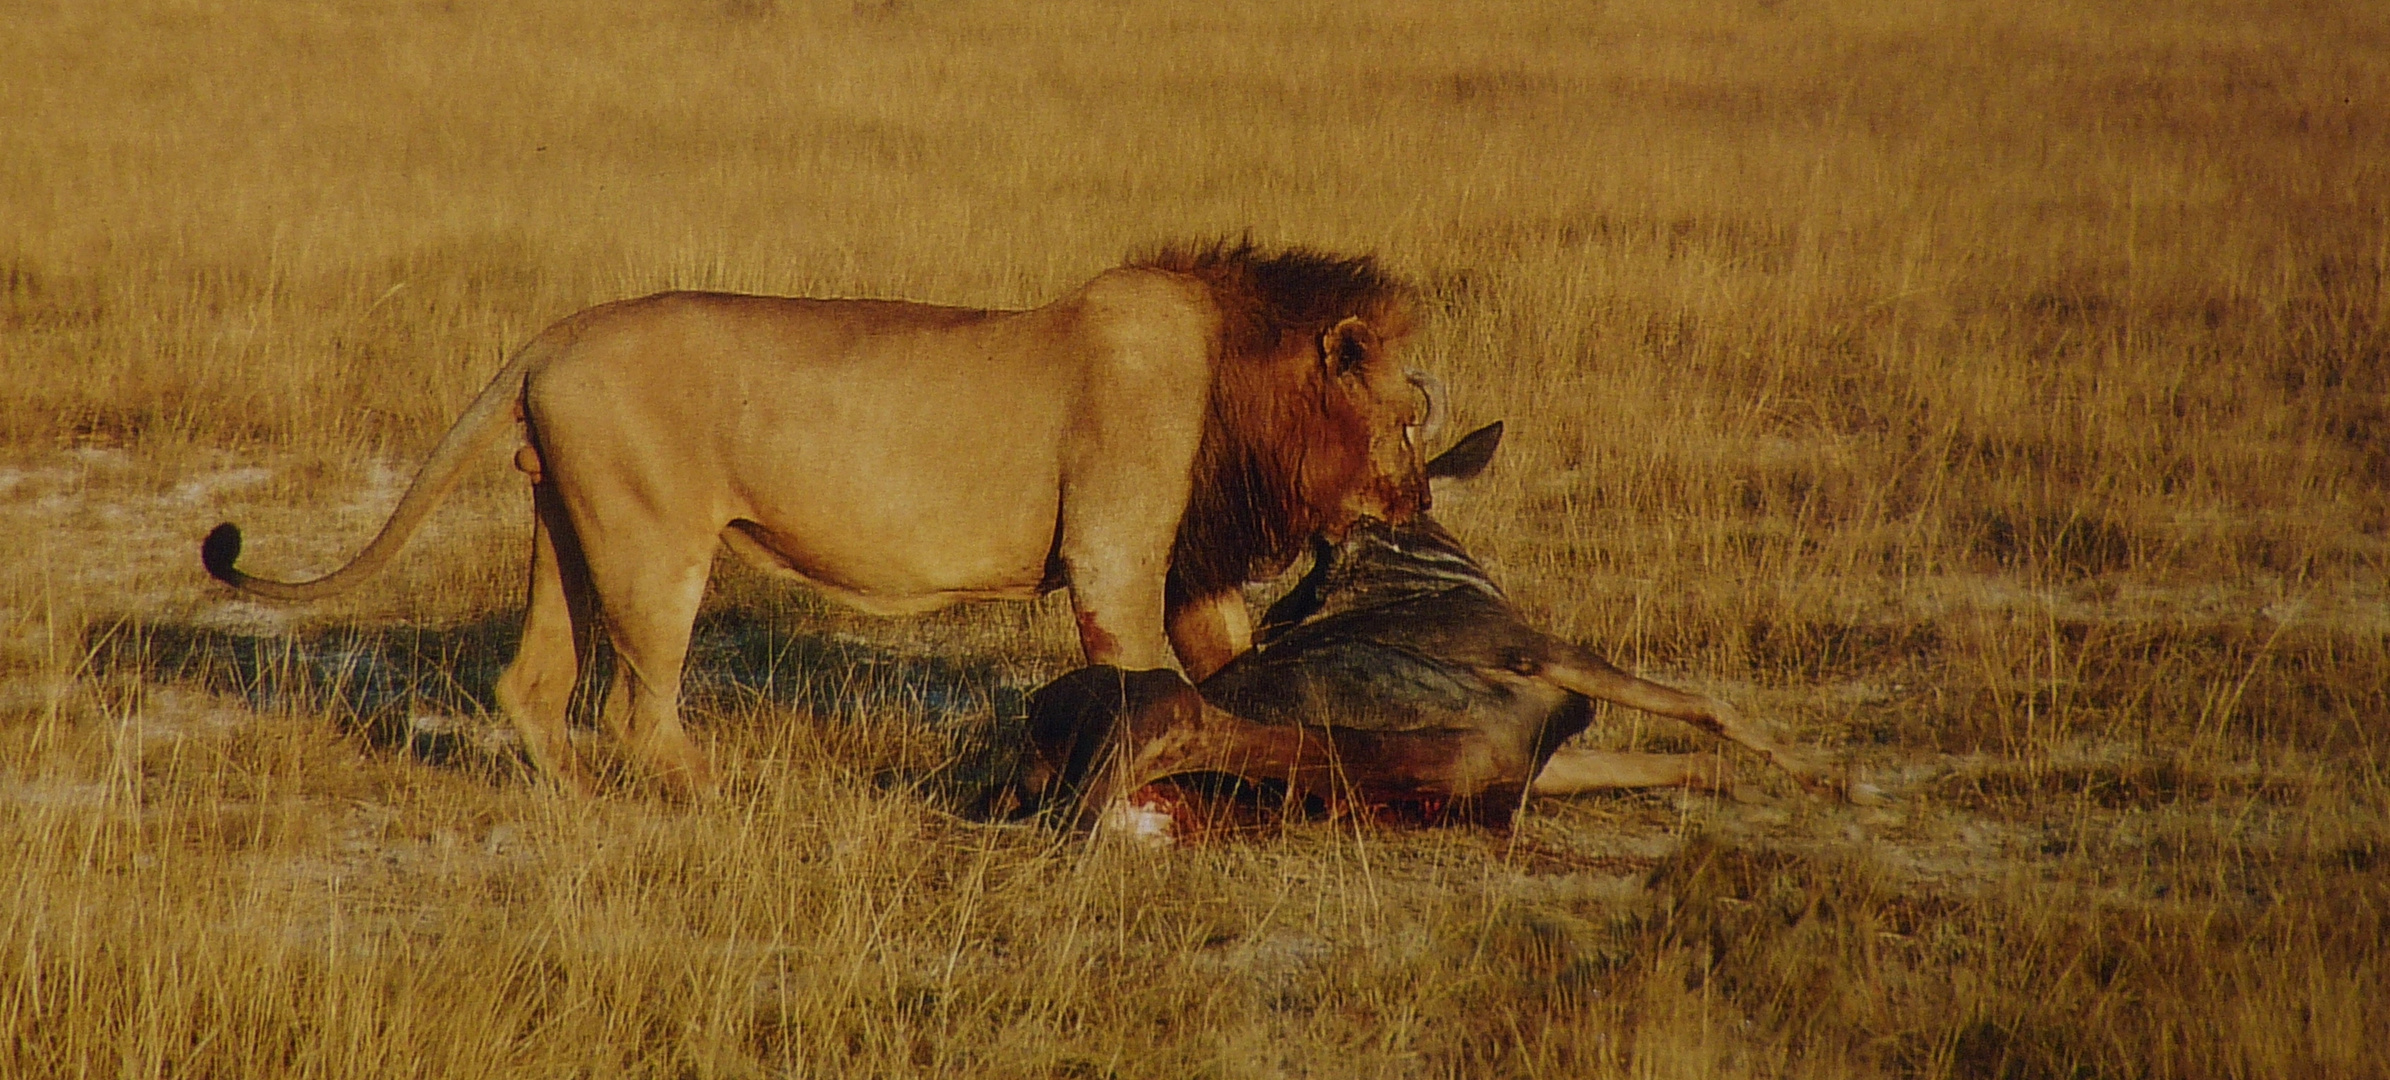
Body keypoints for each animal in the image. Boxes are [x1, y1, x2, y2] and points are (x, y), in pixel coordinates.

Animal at [200, 242, 1434, 793]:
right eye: (1412, 416)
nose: (1422, 498)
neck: (1242, 382)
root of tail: (557, 330)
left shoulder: (1191, 568)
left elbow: (1227, 667)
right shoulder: (1114, 554)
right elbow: (1141, 680)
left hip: (563, 527)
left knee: (530, 684)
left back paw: (577, 811)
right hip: (652, 546)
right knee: (637, 712)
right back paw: (716, 796)